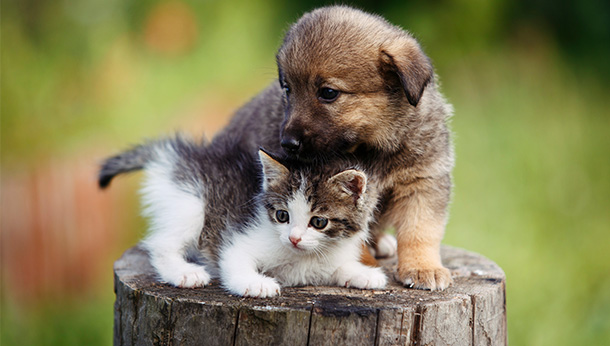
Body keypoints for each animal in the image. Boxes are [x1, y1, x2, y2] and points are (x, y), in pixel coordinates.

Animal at [99, 135, 384, 298]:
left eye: (318, 222)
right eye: (282, 215)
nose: (293, 238)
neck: (304, 257)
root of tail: (178, 157)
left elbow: (338, 267)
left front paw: (364, 274)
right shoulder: (238, 240)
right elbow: (234, 261)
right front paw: (256, 284)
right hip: (191, 203)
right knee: (161, 244)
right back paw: (184, 273)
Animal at [213, 6, 452, 290]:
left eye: (328, 92)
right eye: (287, 88)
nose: (287, 143)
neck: (373, 147)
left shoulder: (422, 181)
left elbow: (421, 231)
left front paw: (423, 267)